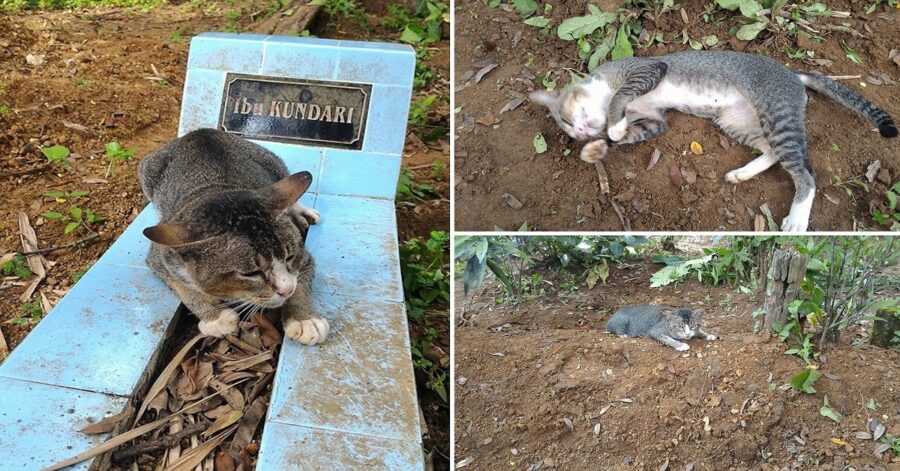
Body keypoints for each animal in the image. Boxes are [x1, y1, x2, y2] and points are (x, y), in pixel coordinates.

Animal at [137, 129, 326, 346]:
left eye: (290, 257)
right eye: (251, 273)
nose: (286, 291)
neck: (217, 190)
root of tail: (200, 132)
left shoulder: (304, 258)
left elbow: (300, 281)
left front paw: (304, 319)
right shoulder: (161, 256)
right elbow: (183, 287)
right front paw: (215, 317)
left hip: (272, 161)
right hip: (147, 171)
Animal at [532, 50, 896, 233]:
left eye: (566, 119)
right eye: (569, 129)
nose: (581, 133)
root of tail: (792, 73)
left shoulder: (646, 69)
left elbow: (620, 98)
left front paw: (612, 126)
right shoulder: (655, 120)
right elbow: (629, 131)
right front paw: (599, 146)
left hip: (777, 115)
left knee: (805, 173)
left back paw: (796, 219)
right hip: (737, 121)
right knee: (772, 153)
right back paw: (742, 174)